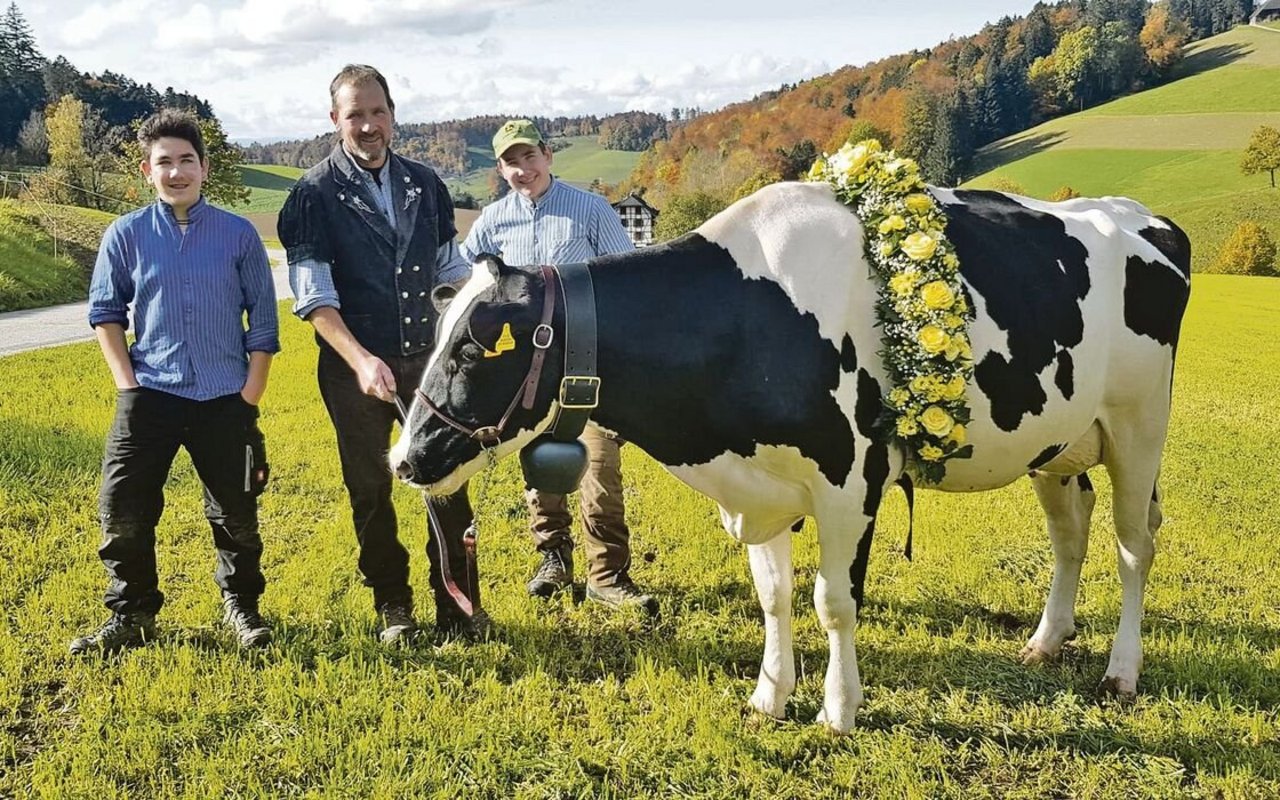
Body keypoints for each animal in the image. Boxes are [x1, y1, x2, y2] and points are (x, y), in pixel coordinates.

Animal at [389, 180, 1187, 732]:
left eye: (471, 350)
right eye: (437, 336)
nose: (403, 460)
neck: (747, 319)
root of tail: (1136, 214)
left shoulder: (851, 480)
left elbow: (833, 601)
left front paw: (839, 709)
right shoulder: (758, 486)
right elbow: (773, 596)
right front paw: (770, 696)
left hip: (1139, 426)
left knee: (1132, 545)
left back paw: (1121, 671)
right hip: (1058, 442)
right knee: (1070, 534)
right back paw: (1046, 642)